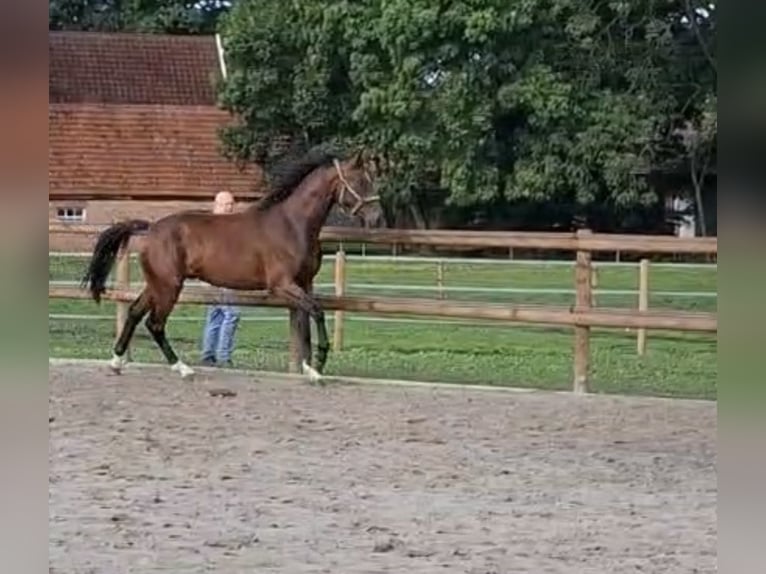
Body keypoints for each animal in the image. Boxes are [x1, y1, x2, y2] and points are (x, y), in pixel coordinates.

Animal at [80, 149, 383, 381]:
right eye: (360, 181)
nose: (377, 219)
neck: (292, 224)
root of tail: (151, 228)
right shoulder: (282, 285)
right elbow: (317, 312)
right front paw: (319, 365)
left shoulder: (304, 283)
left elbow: (305, 324)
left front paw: (311, 369)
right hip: (169, 286)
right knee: (155, 323)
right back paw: (183, 369)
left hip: (157, 284)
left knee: (133, 312)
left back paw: (116, 362)